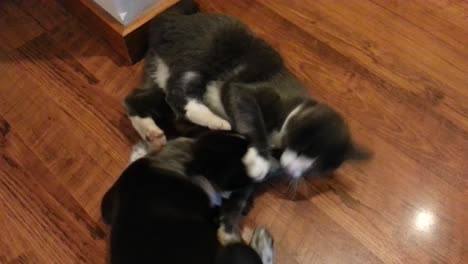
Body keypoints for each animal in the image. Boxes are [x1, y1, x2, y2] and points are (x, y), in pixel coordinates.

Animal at [100, 132, 272, 264]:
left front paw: (140, 150)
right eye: (242, 172)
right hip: (236, 253)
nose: (265, 152)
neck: (191, 160)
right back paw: (263, 241)